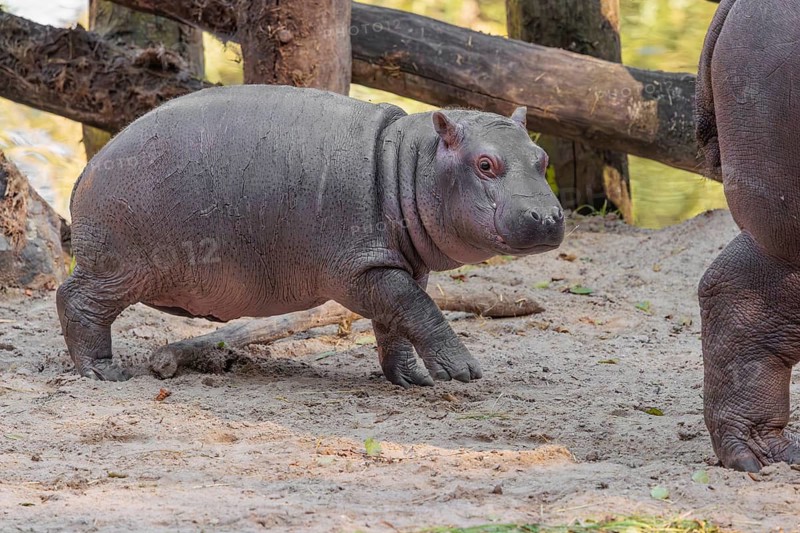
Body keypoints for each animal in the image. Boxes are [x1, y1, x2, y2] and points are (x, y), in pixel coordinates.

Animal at [57, 85, 564, 386]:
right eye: (485, 164)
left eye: (541, 157)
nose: (546, 216)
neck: (410, 162)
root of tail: (87, 168)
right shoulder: (360, 270)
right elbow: (421, 312)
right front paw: (463, 371)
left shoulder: (399, 266)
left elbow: (398, 321)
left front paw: (410, 379)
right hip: (118, 266)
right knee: (76, 300)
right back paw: (103, 373)